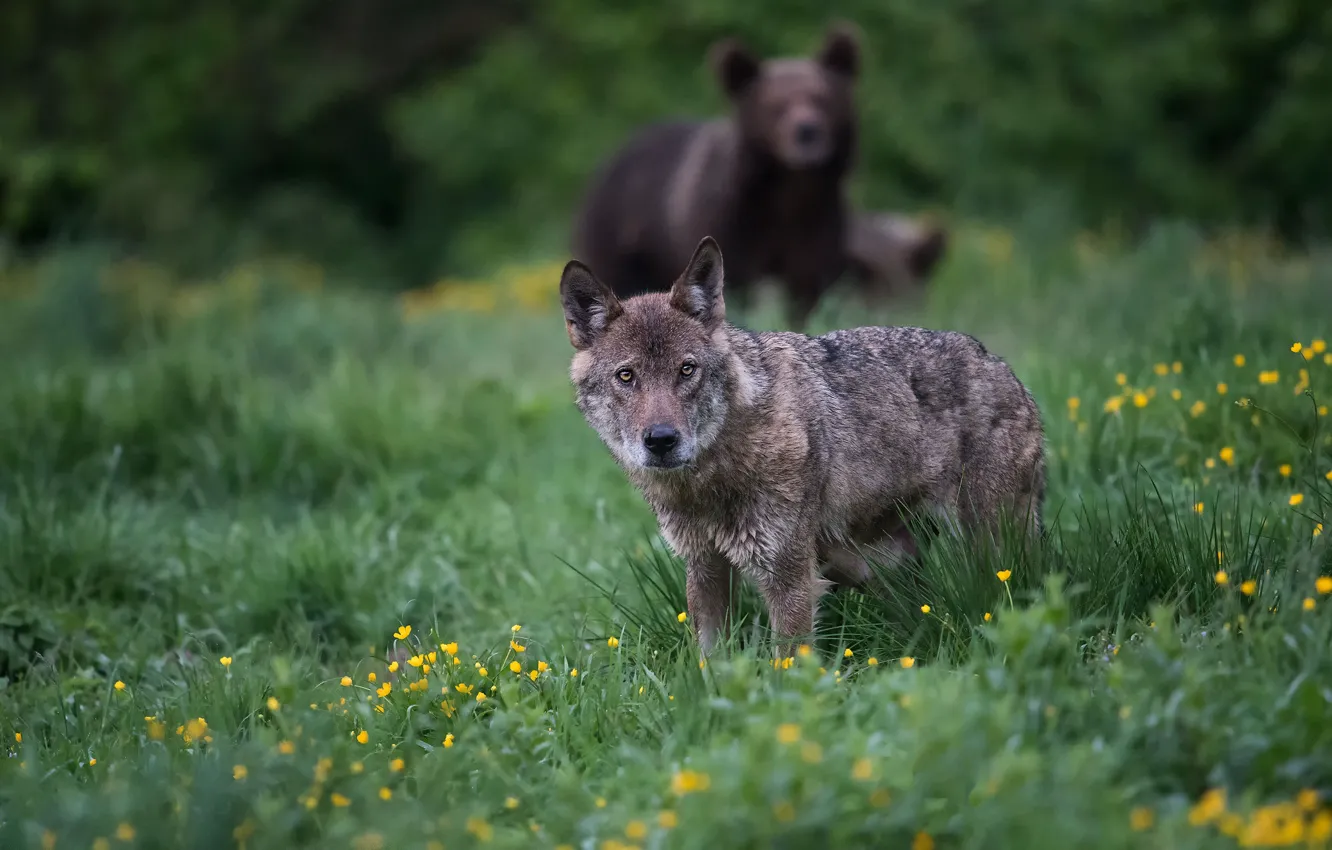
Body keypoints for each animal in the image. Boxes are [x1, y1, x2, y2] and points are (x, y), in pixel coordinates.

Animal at [559, 237, 1046, 655]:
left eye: (686, 370)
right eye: (626, 376)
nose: (661, 440)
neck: (711, 480)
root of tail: (1005, 369)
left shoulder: (789, 575)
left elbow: (786, 668)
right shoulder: (705, 568)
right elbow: (710, 664)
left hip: (987, 548)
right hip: (879, 563)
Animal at [570, 22, 863, 330]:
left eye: (823, 98)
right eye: (775, 105)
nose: (806, 132)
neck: (787, 191)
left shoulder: (818, 223)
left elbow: (809, 285)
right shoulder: (731, 222)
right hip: (620, 234)